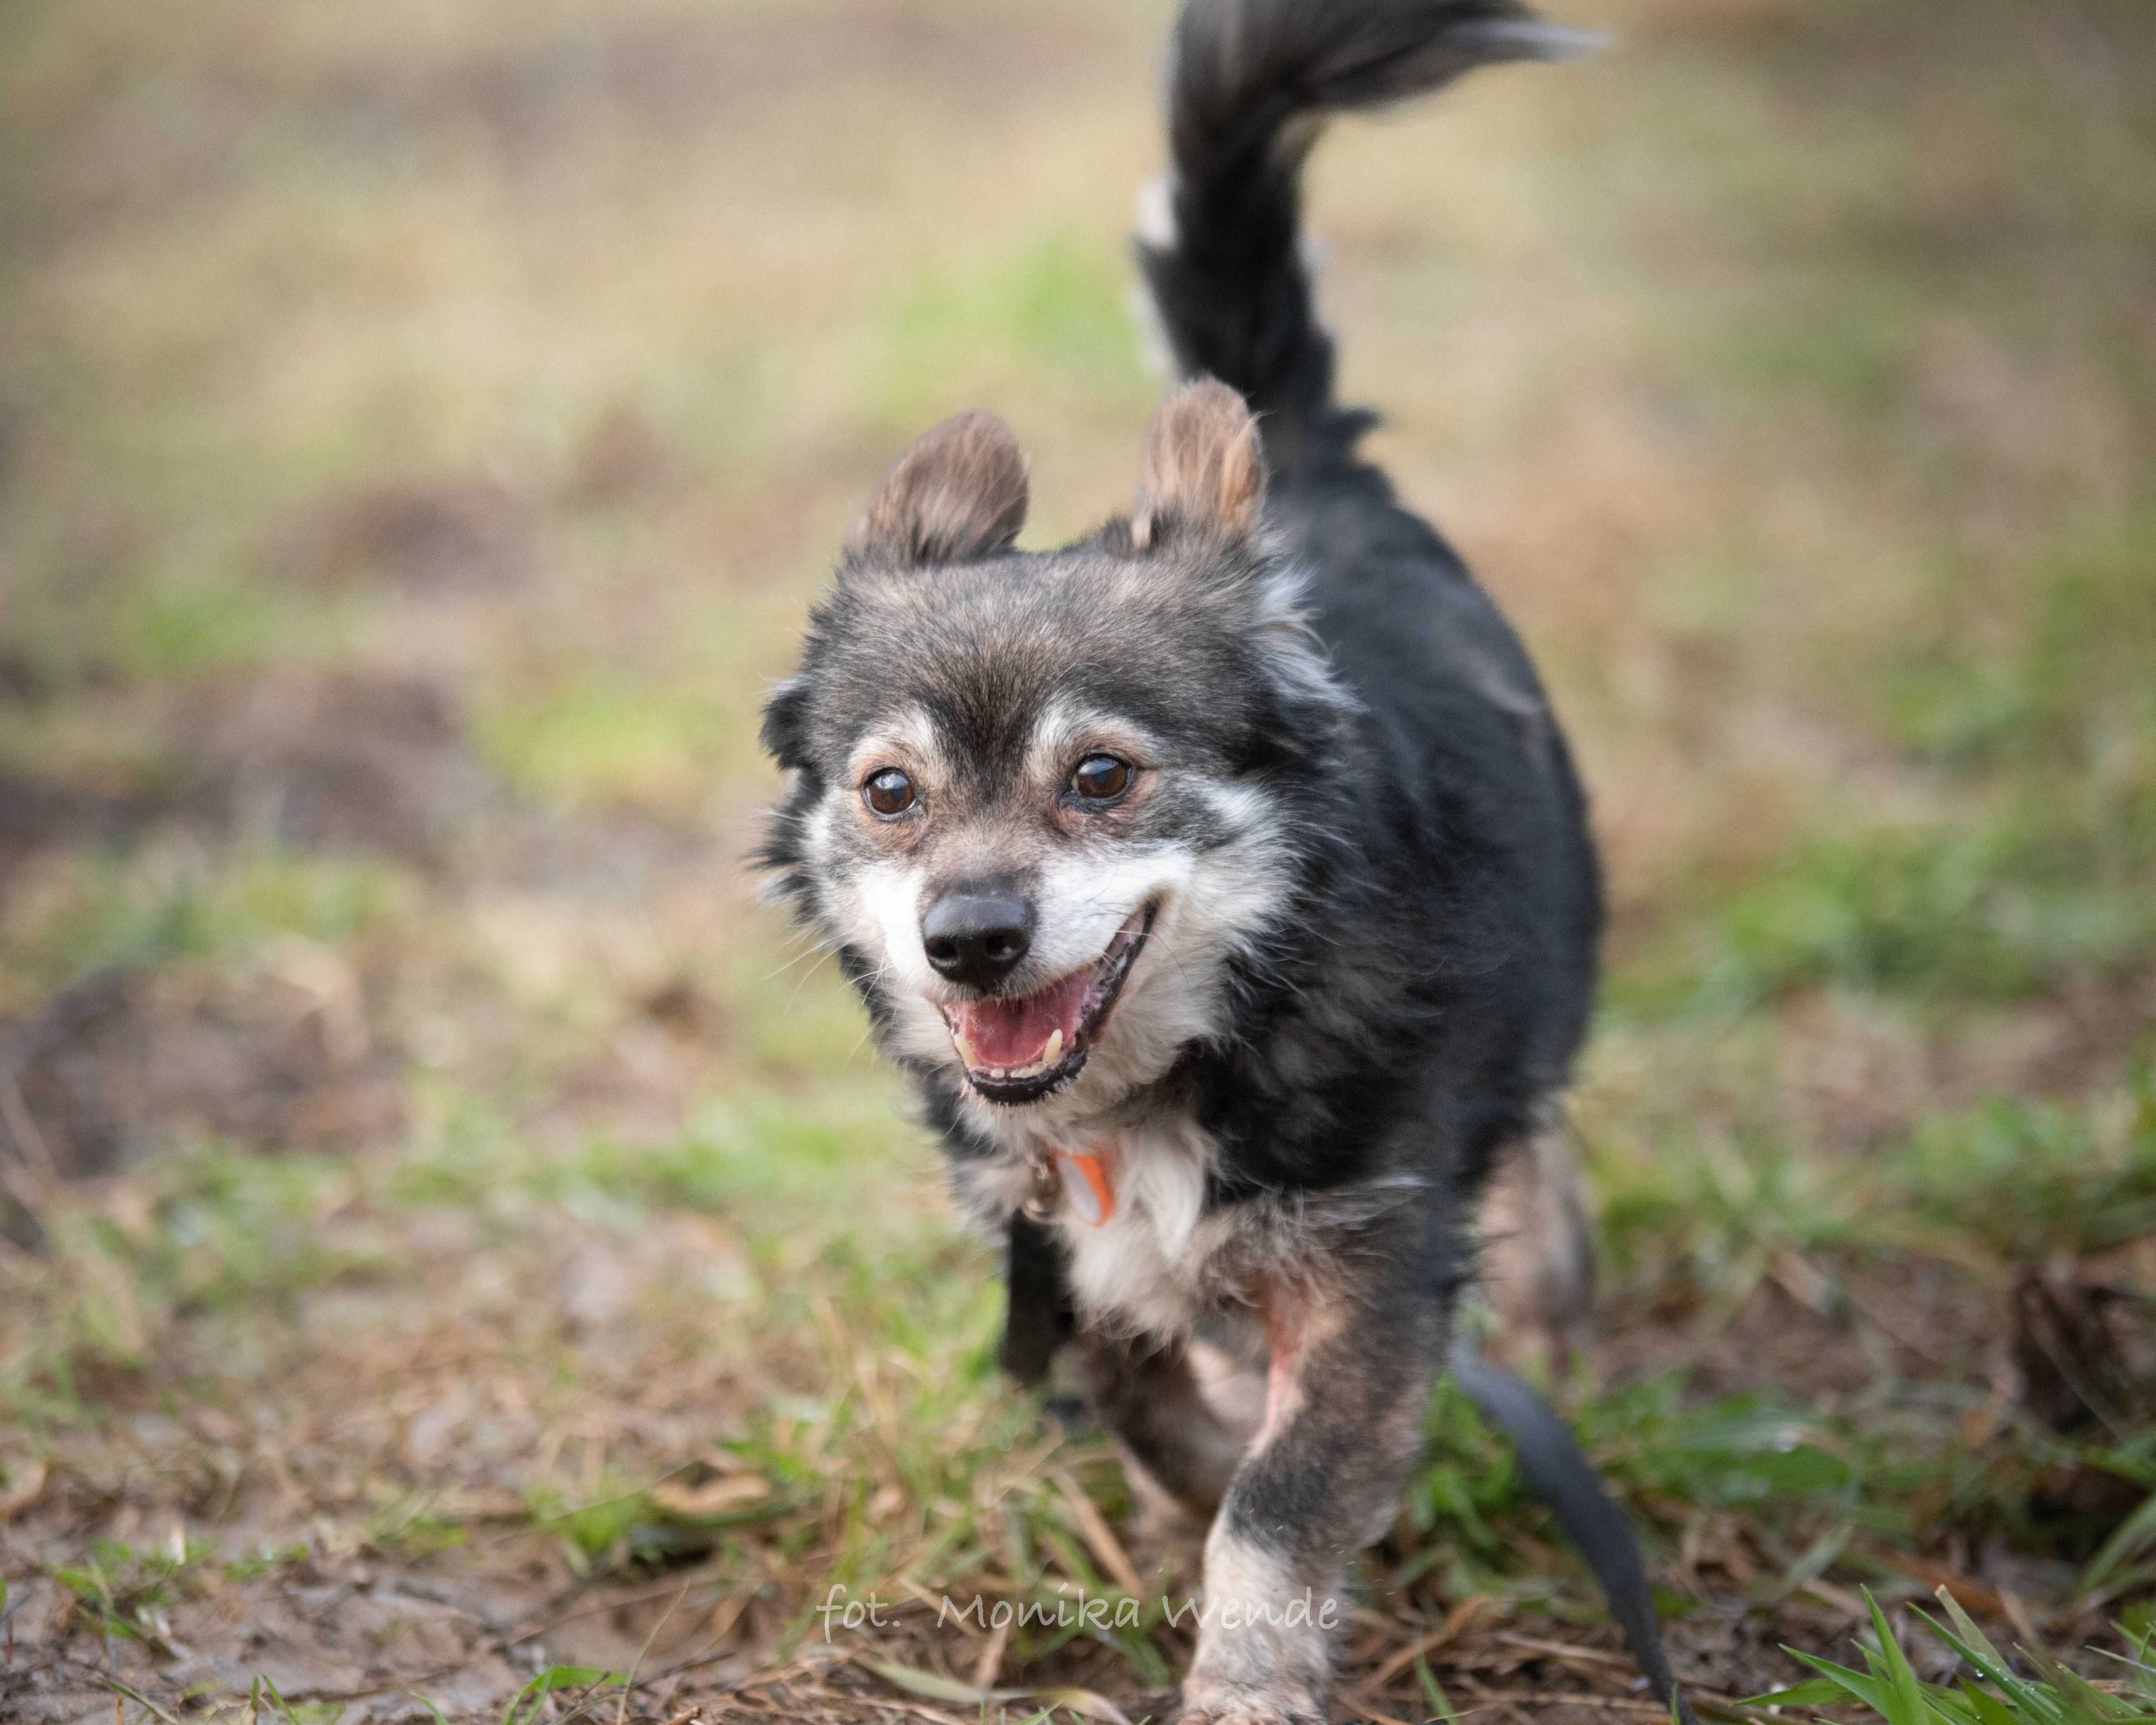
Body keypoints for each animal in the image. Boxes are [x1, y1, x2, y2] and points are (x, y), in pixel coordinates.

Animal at [767, 6, 1612, 1716]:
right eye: (891, 792)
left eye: (1101, 777)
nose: (968, 937)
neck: (1178, 1066)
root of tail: (1322, 475)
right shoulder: (1053, 1249)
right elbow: (1146, 1408)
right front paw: (1208, 1445)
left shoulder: (1368, 1257)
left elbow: (1278, 1505)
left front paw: (1246, 1679)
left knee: (1541, 1124)